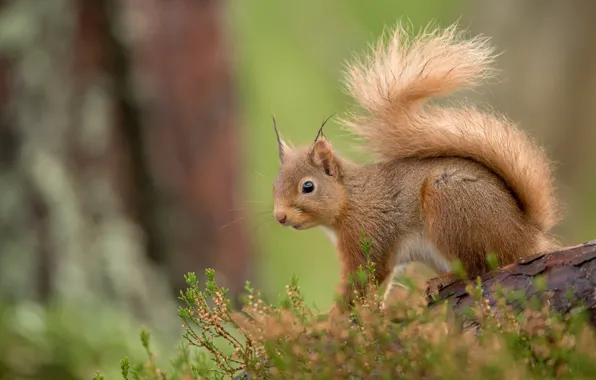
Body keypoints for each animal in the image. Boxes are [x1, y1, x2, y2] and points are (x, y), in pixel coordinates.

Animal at [272, 23, 564, 314]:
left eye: (308, 186)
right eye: (274, 185)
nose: (280, 217)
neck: (351, 200)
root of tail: (525, 234)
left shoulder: (369, 237)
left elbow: (363, 282)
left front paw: (332, 318)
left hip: (450, 207)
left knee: (478, 267)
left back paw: (443, 279)